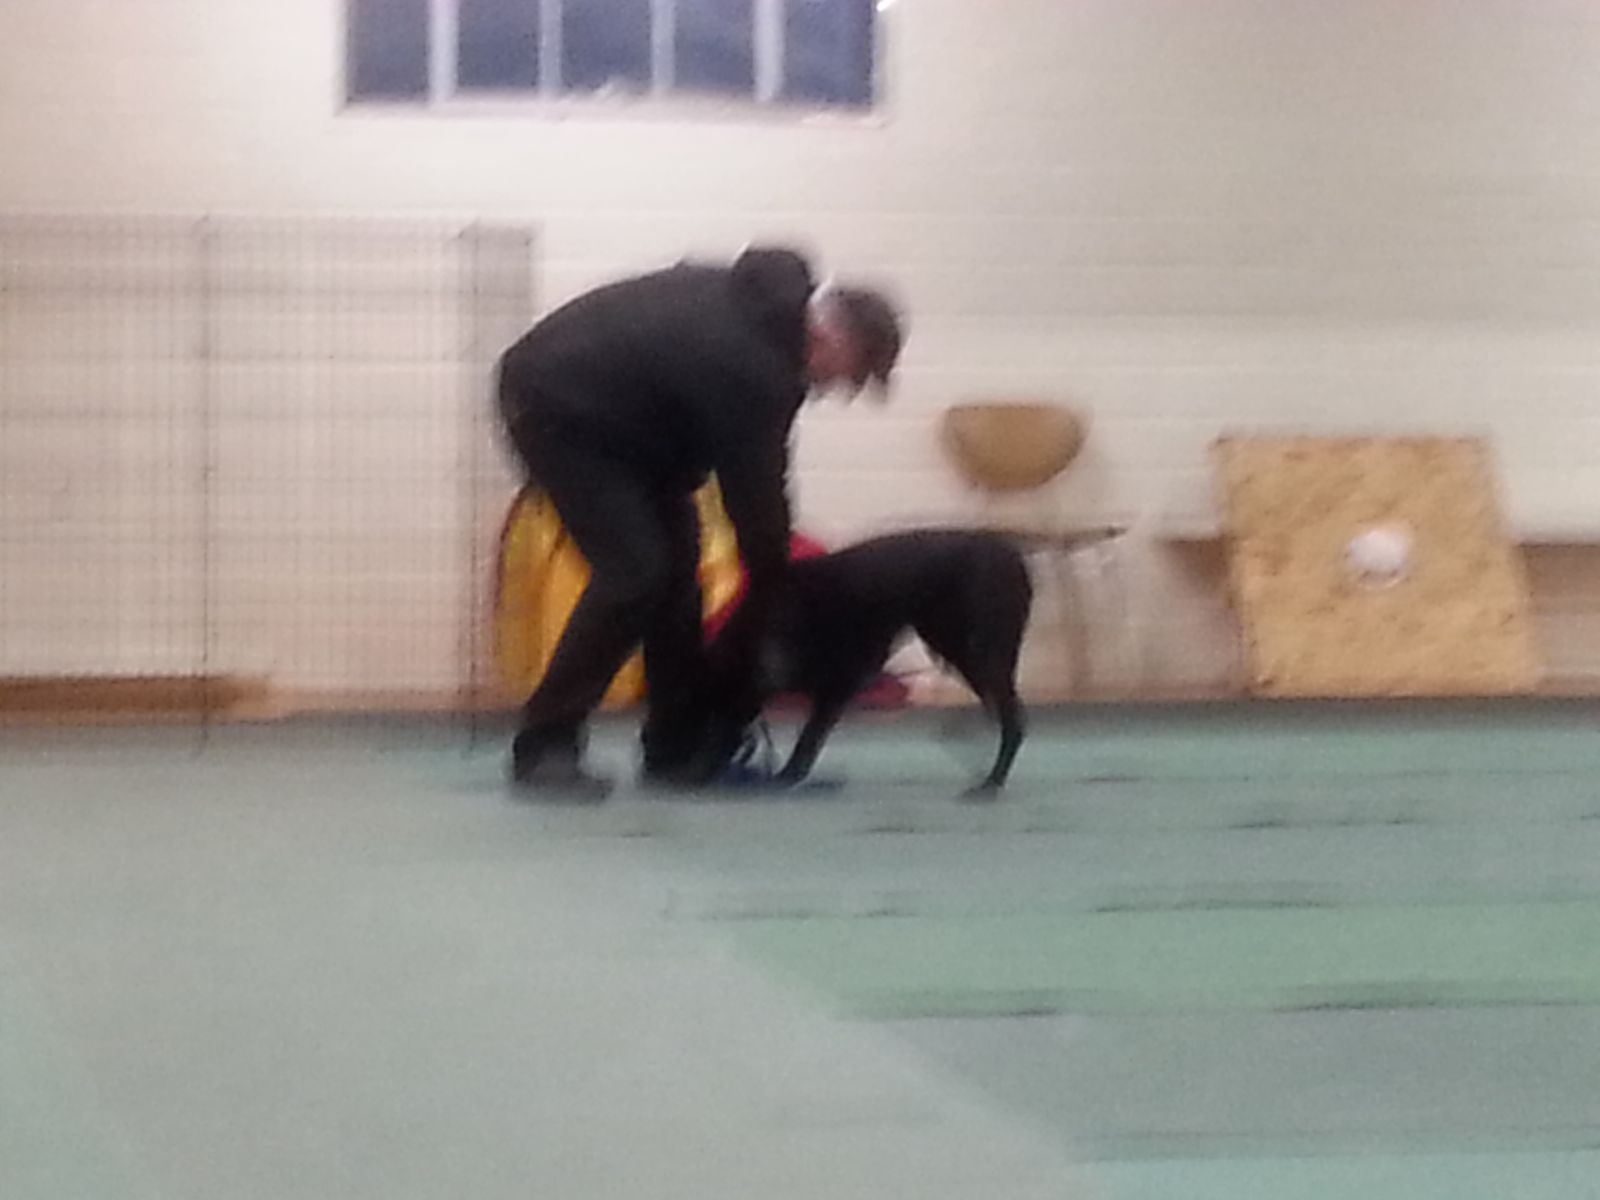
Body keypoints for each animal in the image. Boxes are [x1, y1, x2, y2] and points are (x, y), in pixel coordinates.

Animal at [751, 529, 1033, 796]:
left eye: (785, 626)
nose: (773, 667)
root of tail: (1014, 559)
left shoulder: (839, 683)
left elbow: (808, 738)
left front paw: (787, 775)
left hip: (974, 651)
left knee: (1012, 721)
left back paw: (991, 782)